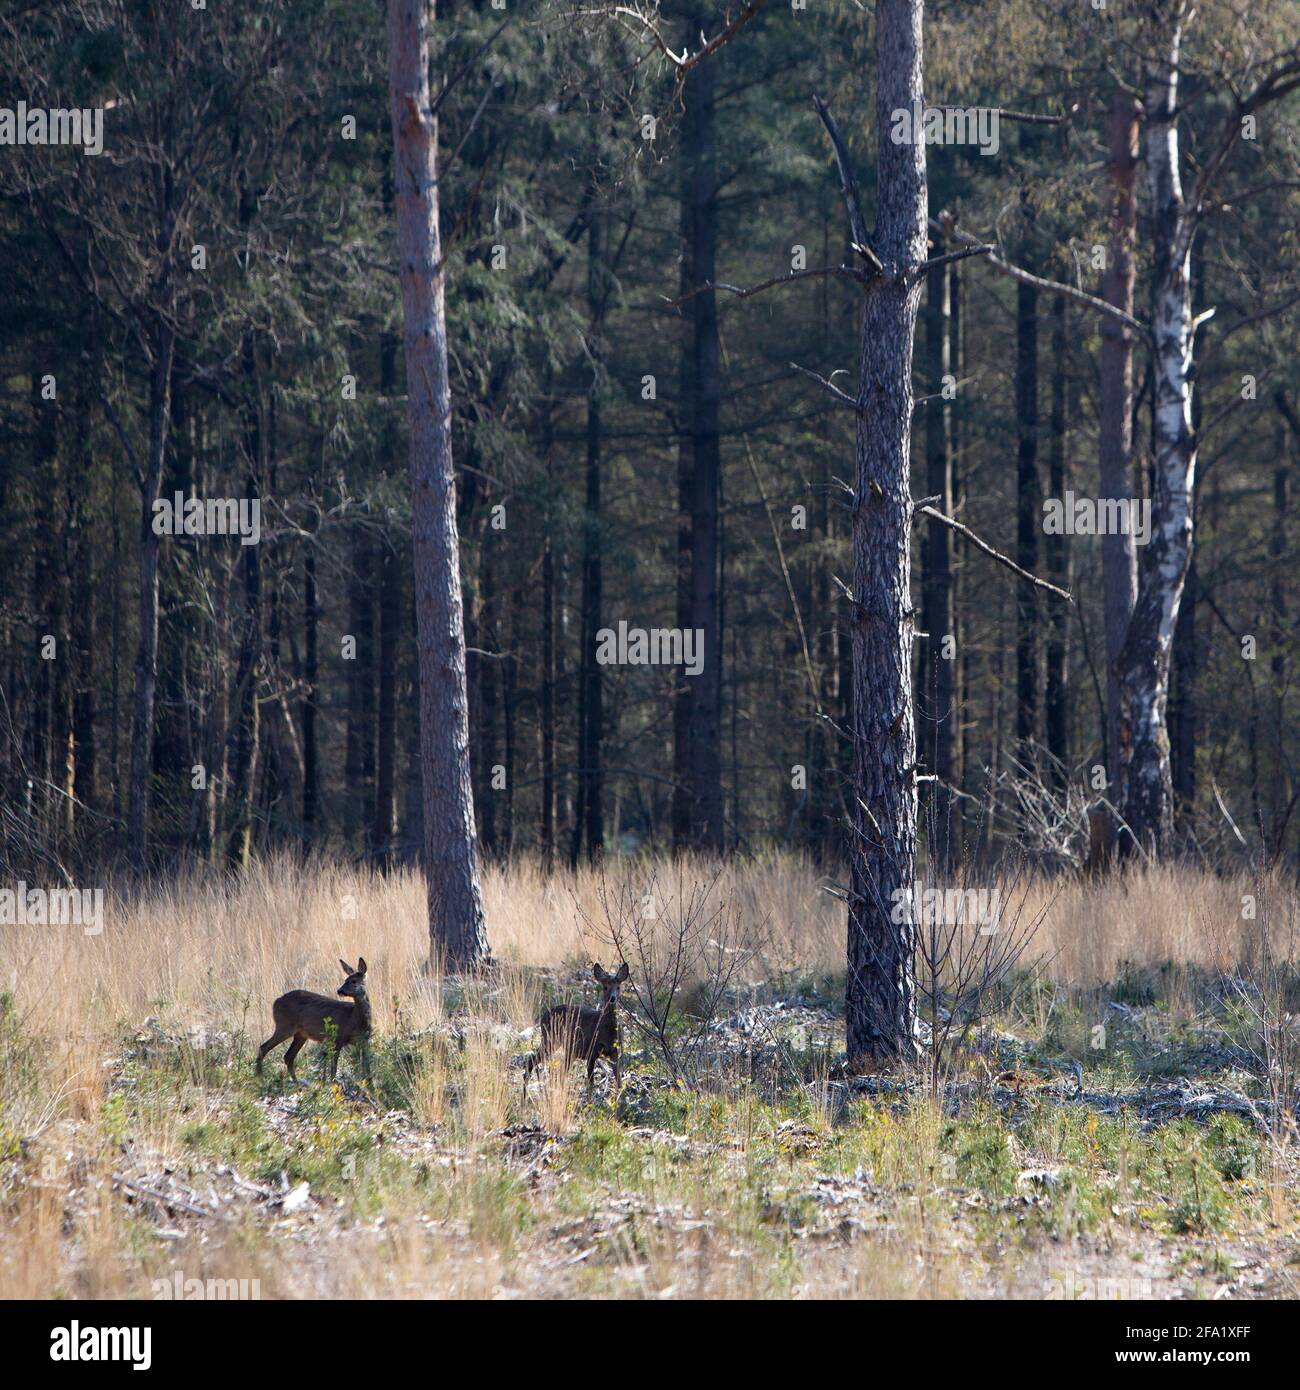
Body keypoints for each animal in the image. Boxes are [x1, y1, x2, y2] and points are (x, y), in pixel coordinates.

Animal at [257, 956, 372, 1084]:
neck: (355, 1019)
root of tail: (276, 1002)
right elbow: (334, 1066)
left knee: (288, 1056)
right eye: (345, 979)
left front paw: (370, 1084)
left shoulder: (364, 1041)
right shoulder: (337, 1037)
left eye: (354, 981)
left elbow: (367, 1066)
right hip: (284, 1026)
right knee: (264, 1047)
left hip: (300, 1034)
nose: (339, 990)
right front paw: (332, 1083)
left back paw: (296, 1083)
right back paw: (259, 1078)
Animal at [525, 956, 634, 1095]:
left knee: (558, 1071)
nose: (612, 998)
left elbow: (619, 1082)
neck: (607, 1031)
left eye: (618, 987)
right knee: (532, 1061)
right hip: (550, 1038)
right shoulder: (591, 1051)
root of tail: (543, 1015)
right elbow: (591, 1085)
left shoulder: (615, 1052)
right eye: (605, 987)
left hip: (567, 1048)